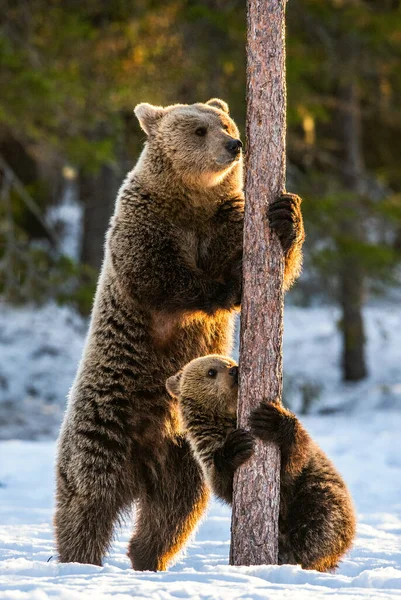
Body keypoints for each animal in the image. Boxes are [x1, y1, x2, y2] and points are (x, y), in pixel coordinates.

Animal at [53, 96, 304, 568]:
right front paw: (224, 287)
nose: (234, 145)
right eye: (198, 130)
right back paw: (78, 559)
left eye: (226, 123)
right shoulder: (143, 222)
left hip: (182, 456)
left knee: (175, 511)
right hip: (103, 425)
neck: (192, 202)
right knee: (87, 500)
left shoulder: (228, 221)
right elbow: (158, 275)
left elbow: (275, 265)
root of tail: (142, 462)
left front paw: (285, 216)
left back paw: (146, 557)